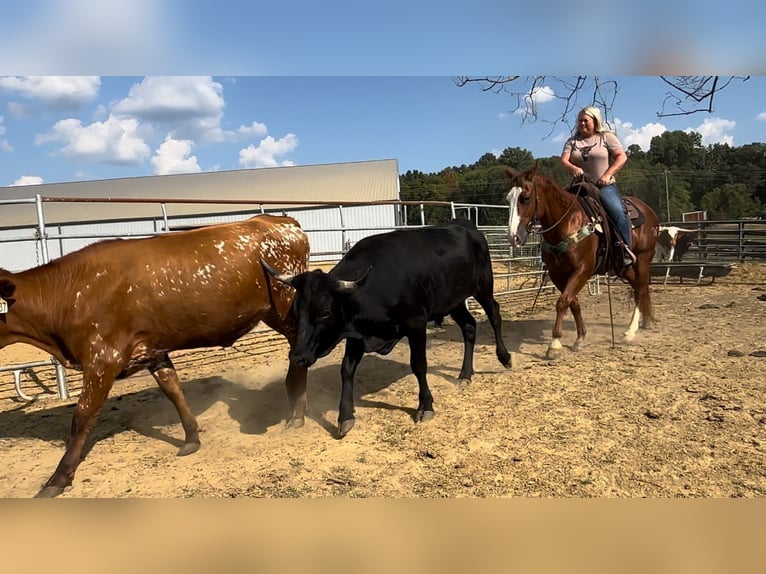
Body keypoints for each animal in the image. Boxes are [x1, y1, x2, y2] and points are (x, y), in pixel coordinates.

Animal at [2, 214, 312, 498]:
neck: (69, 294)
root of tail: (280, 221)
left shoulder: (103, 359)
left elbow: (82, 417)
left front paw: (57, 479)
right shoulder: (153, 352)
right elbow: (173, 390)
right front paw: (191, 438)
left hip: (286, 307)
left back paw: (296, 413)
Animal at [262, 218, 510, 438]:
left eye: (324, 312)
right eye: (295, 311)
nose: (298, 356)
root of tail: (466, 226)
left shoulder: (416, 324)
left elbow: (419, 365)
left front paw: (425, 406)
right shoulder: (357, 335)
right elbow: (346, 370)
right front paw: (345, 417)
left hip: (483, 286)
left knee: (494, 314)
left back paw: (505, 357)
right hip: (454, 301)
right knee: (469, 327)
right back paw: (465, 375)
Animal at [508, 164, 664, 358]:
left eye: (526, 198)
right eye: (508, 198)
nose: (513, 237)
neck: (567, 223)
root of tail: (649, 211)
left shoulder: (583, 269)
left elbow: (562, 302)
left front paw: (555, 344)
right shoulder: (557, 273)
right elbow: (572, 302)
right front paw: (580, 338)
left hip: (642, 259)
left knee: (641, 289)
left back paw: (630, 331)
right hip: (624, 266)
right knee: (637, 288)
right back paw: (645, 322)